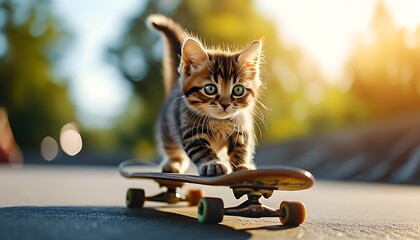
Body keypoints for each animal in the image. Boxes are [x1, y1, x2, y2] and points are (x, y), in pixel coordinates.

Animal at [149, 15, 264, 176]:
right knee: (173, 150)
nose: (225, 104)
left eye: (238, 90)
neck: (219, 122)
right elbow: (201, 150)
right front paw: (213, 163)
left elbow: (241, 149)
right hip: (168, 130)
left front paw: (242, 165)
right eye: (210, 89)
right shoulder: (191, 133)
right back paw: (173, 163)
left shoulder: (242, 129)